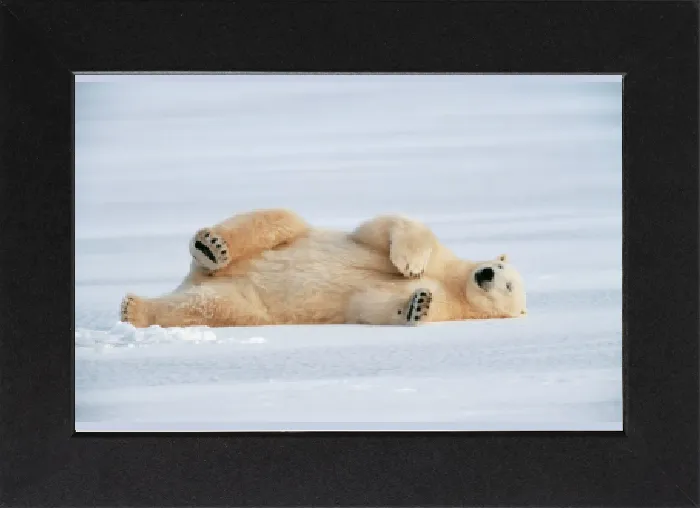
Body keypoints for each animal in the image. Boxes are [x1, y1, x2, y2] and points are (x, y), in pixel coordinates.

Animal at [120, 208, 527, 328]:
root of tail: (192, 278)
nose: (487, 274)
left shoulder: (451, 306)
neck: (456, 282)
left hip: (243, 300)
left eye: (509, 288)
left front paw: (418, 304)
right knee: (276, 221)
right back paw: (211, 246)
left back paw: (135, 309)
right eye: (497, 265)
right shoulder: (445, 258)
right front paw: (409, 263)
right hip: (282, 238)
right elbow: (387, 229)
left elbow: (371, 304)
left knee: (211, 307)